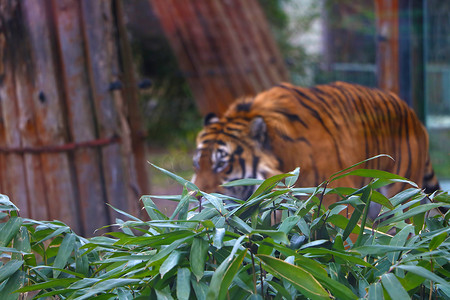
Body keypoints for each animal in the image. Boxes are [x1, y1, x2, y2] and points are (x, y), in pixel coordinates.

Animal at [192, 81, 442, 217]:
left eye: (221, 163)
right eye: (196, 164)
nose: (194, 199)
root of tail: (414, 116)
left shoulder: (335, 204)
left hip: (398, 200)